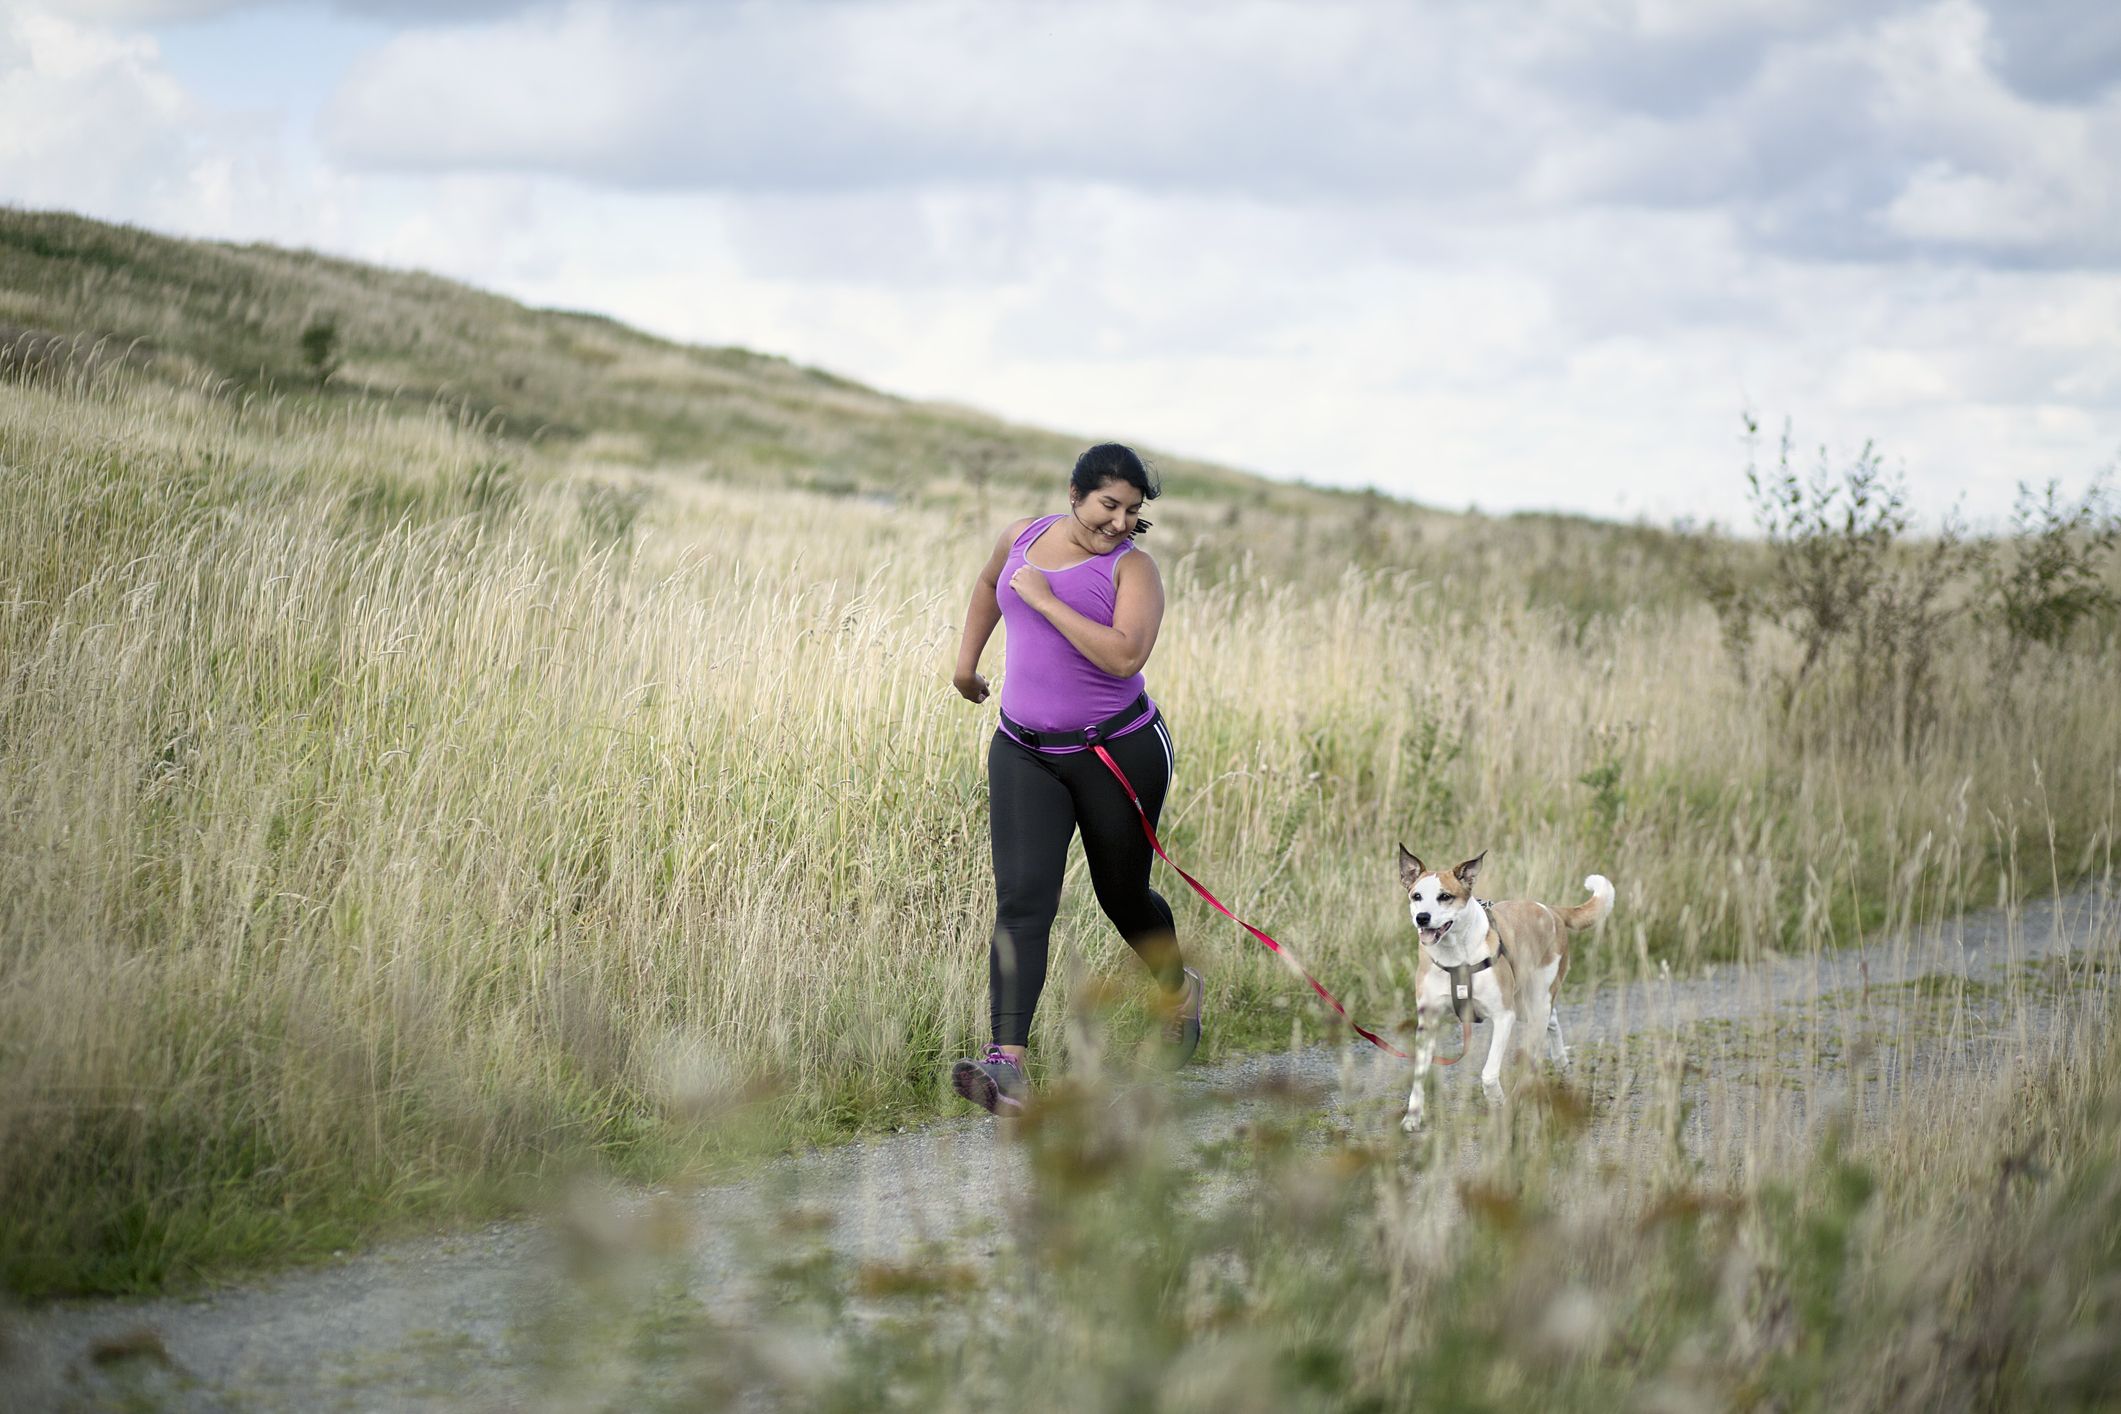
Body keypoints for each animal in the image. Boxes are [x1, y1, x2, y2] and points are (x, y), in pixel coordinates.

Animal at [1399, 847, 1611, 1136]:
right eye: (1416, 896)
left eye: (1445, 896)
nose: (1422, 918)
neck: (1457, 956)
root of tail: (1551, 911)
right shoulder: (1428, 1020)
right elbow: (1419, 1074)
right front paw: (1413, 1117)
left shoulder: (1504, 1017)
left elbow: (1489, 1074)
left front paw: (1498, 1100)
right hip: (1527, 1005)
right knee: (1552, 1021)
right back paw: (1560, 1061)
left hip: (1535, 1001)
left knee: (1536, 1046)